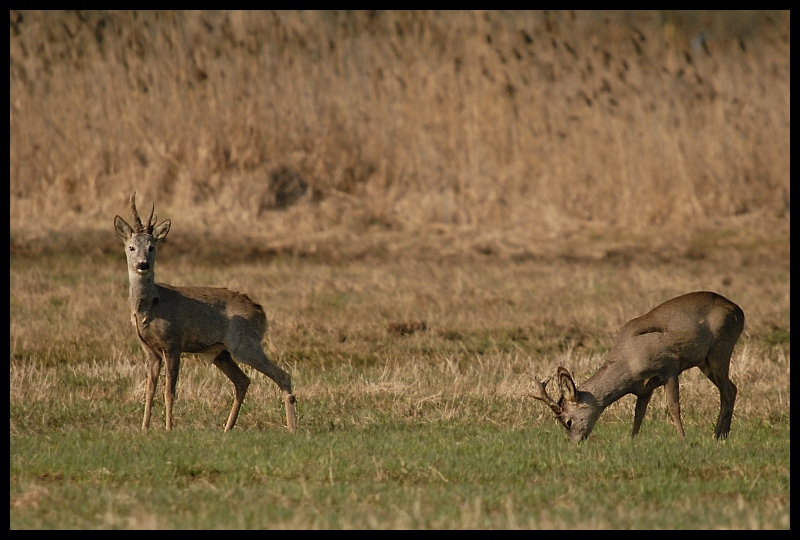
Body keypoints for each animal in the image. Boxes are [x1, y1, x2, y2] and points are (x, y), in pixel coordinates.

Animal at [115, 192, 296, 432]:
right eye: (131, 247)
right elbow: (149, 391)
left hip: (244, 343)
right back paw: (227, 428)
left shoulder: (174, 343)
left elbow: (169, 391)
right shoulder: (150, 350)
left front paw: (168, 428)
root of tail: (260, 311)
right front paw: (145, 429)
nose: (142, 265)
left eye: (152, 247)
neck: (151, 307)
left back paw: (292, 428)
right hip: (221, 352)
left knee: (282, 375)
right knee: (243, 380)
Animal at [532, 292, 744, 442]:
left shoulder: (669, 368)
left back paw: (716, 436)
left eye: (568, 421)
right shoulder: (644, 387)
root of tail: (739, 311)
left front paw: (683, 439)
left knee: (727, 391)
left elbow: (673, 406)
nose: (574, 442)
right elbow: (638, 412)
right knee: (732, 388)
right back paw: (722, 435)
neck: (629, 362)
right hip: (705, 362)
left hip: (720, 349)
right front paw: (632, 439)